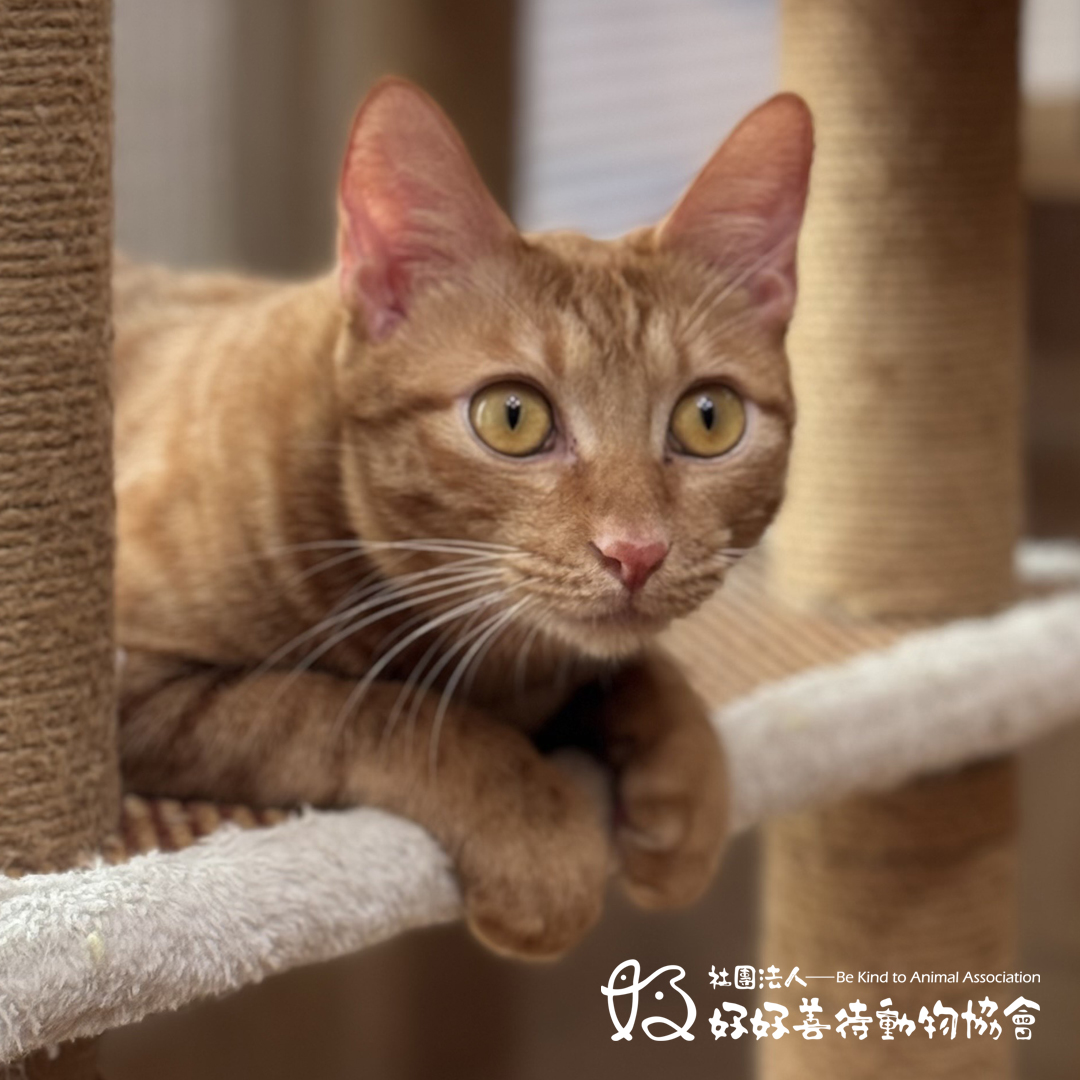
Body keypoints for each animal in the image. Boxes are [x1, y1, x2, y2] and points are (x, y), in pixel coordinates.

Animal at [113, 78, 811, 959]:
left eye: (709, 419)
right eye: (512, 417)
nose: (636, 553)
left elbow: (638, 666)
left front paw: (686, 779)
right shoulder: (135, 683)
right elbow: (366, 709)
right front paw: (537, 832)